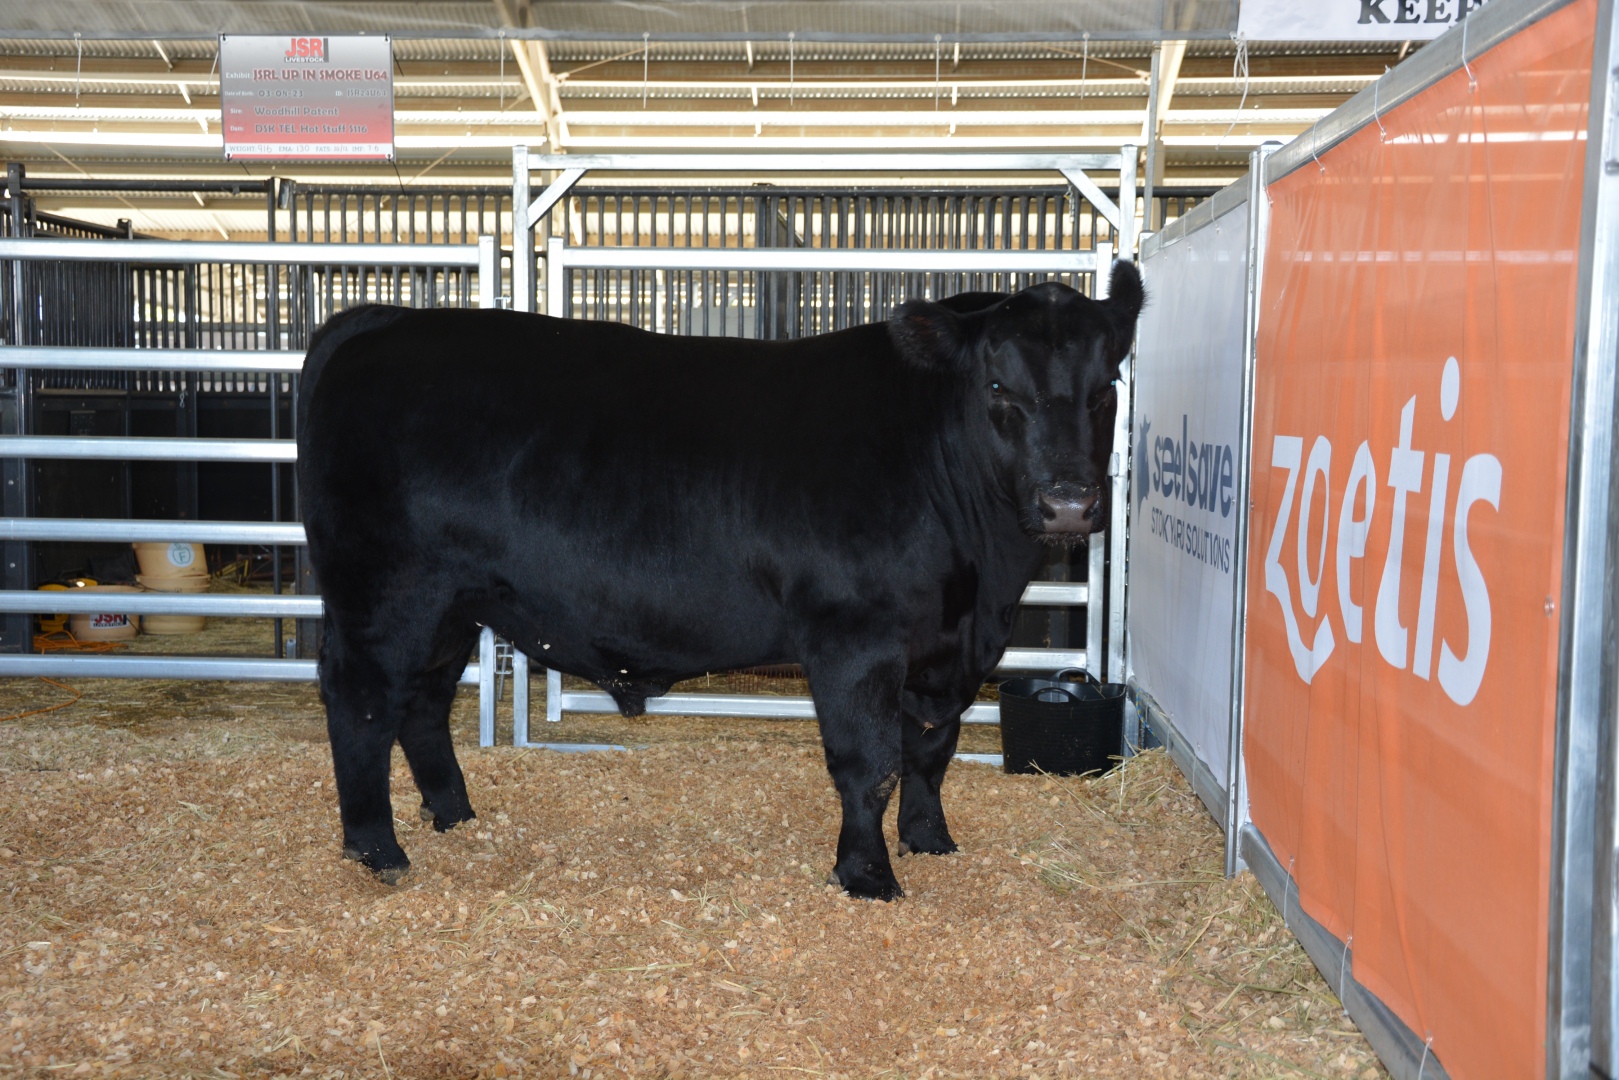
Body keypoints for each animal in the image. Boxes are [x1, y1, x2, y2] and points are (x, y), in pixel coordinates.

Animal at [296, 263, 1144, 900]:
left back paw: (454, 814)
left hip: (453, 603)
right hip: (386, 590)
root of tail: (383, 320)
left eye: (1105, 386)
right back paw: (377, 850)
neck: (983, 580)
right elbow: (867, 763)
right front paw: (867, 876)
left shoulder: (947, 651)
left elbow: (928, 750)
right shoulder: (853, 637)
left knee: (424, 700)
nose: (1068, 502)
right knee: (362, 700)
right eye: (998, 388)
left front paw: (930, 841)